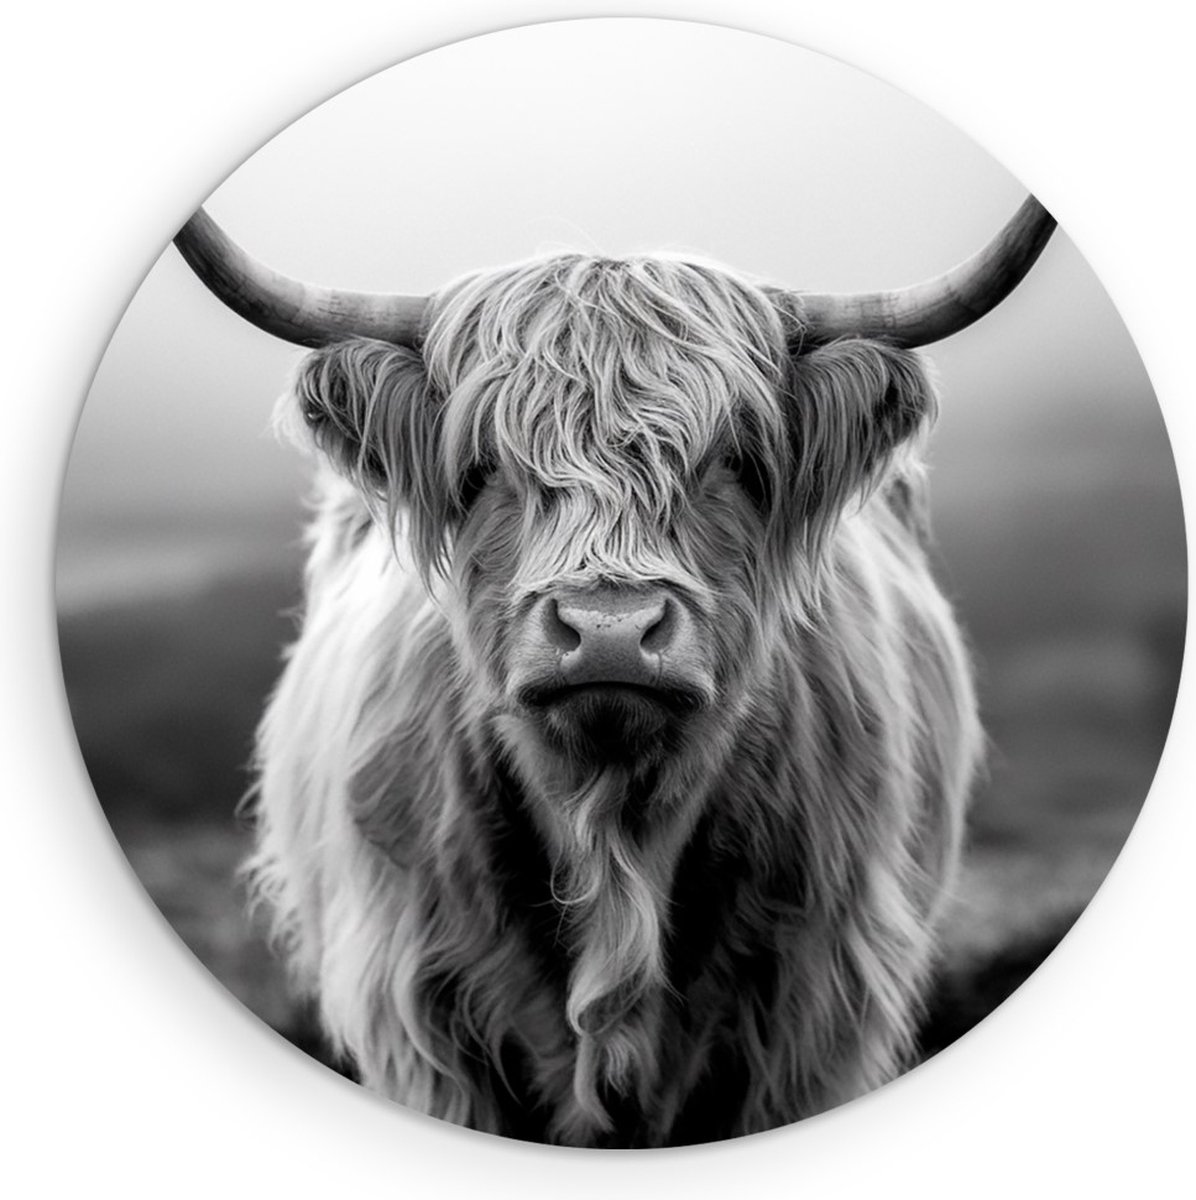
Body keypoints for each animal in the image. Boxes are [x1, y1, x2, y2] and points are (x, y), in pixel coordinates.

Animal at [174, 197, 1055, 1146]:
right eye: (483, 467)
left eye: (736, 461)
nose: (609, 631)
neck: (612, 845)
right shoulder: (421, 1019)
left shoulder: (812, 1018)